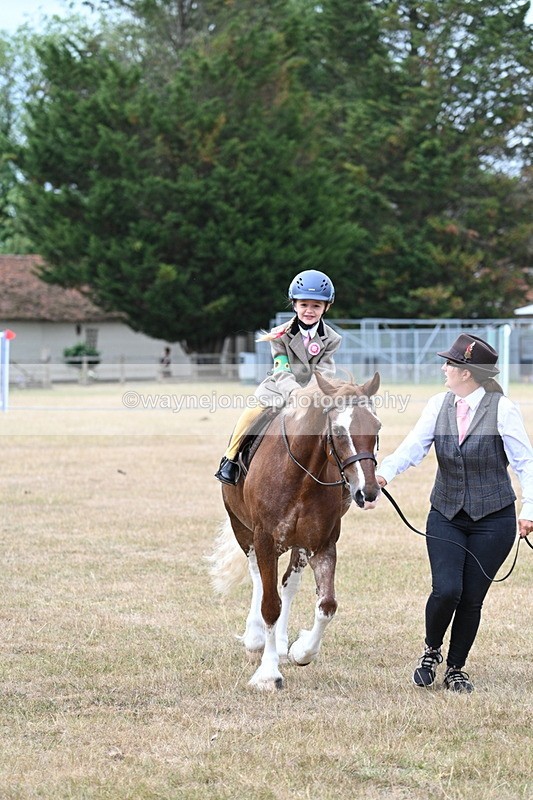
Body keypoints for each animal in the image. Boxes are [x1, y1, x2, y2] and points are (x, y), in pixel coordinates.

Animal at [209, 371, 381, 691]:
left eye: (376, 427)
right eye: (338, 431)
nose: (369, 492)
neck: (301, 474)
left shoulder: (322, 544)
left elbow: (327, 604)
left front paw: (301, 651)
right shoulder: (264, 539)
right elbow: (269, 605)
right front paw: (268, 673)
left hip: (299, 545)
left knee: (289, 584)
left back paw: (280, 642)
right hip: (243, 530)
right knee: (257, 577)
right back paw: (256, 638)